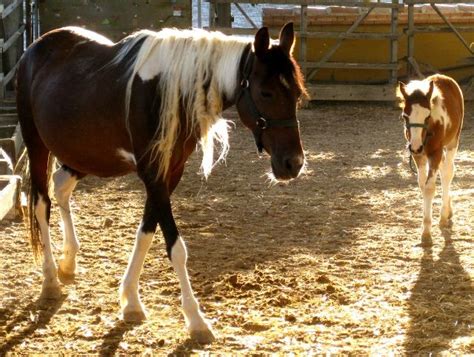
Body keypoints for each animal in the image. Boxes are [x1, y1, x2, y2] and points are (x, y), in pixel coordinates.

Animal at [16, 23, 306, 340]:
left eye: (297, 94)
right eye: (266, 93)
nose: (293, 164)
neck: (172, 90)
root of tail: (35, 48)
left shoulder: (169, 174)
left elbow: (146, 232)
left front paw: (131, 300)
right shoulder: (153, 174)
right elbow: (176, 248)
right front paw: (196, 319)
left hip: (82, 155)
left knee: (61, 186)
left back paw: (68, 264)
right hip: (37, 145)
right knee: (41, 204)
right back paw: (50, 280)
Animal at [396, 74, 462, 242]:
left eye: (427, 116)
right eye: (405, 116)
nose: (416, 146)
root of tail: (443, 77)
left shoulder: (435, 152)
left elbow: (429, 187)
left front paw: (426, 232)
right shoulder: (418, 155)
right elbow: (422, 185)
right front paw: (425, 227)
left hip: (452, 142)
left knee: (448, 172)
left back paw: (444, 215)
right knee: (444, 169)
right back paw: (448, 210)